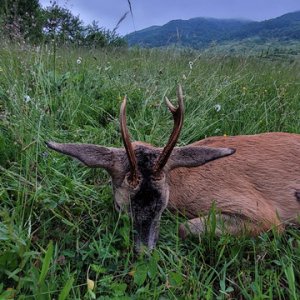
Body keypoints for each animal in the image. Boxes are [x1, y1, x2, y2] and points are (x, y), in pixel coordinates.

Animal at [46, 85, 300, 252]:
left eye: (162, 205)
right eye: (120, 206)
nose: (144, 250)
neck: (183, 183)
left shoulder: (264, 215)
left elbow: (183, 228)